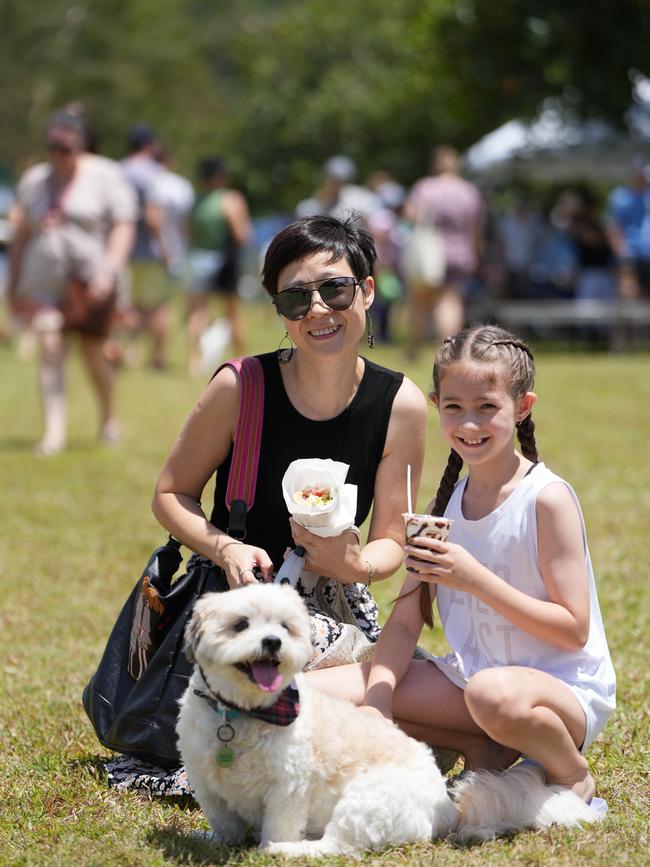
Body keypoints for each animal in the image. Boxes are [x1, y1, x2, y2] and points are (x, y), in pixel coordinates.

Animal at [175, 584, 454, 856]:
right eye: (240, 624)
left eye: (285, 627)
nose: (273, 641)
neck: (242, 709)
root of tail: (444, 809)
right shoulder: (206, 783)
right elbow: (224, 824)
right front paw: (217, 840)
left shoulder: (287, 787)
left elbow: (279, 826)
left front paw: (267, 847)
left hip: (368, 800)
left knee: (336, 846)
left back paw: (286, 849)